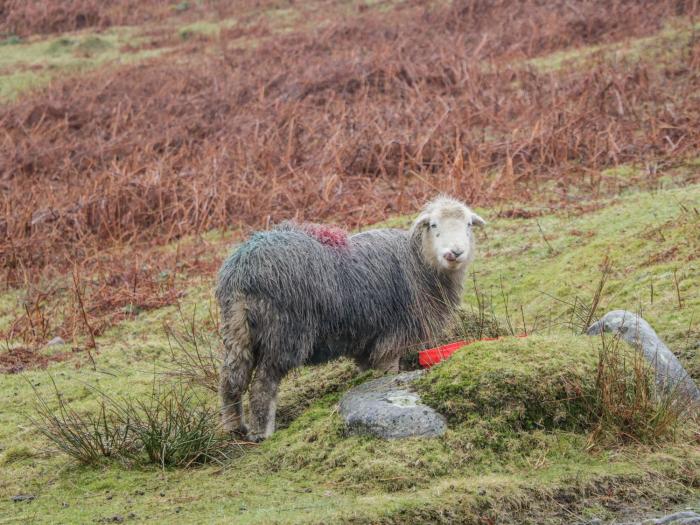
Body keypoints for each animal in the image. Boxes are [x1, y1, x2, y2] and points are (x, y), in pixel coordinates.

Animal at [216, 194, 484, 440]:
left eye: (468, 225)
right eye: (433, 225)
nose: (455, 252)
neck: (419, 263)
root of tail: (244, 270)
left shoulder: (366, 341)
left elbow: (367, 372)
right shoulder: (392, 337)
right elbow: (389, 373)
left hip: (237, 328)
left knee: (231, 379)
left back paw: (234, 427)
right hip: (284, 332)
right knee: (263, 385)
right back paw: (263, 433)